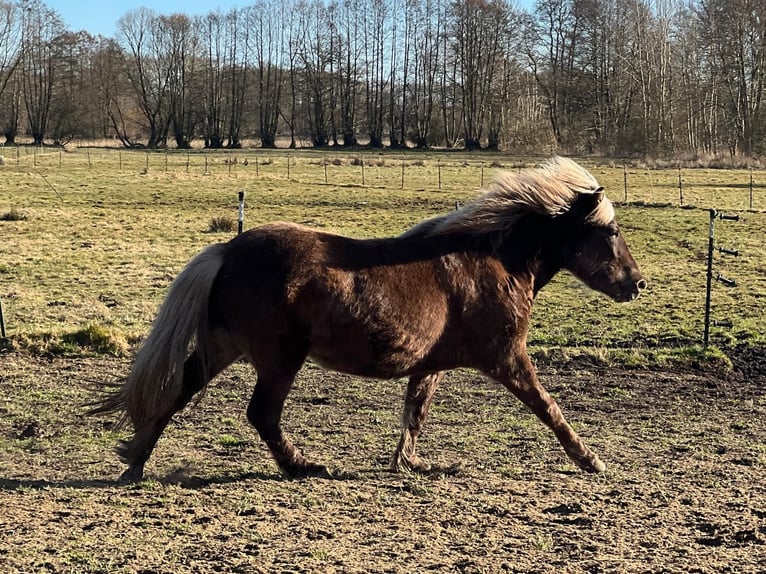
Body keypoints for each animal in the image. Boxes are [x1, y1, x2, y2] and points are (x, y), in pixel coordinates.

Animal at [89, 157, 647, 482]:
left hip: (224, 347)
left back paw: (134, 459)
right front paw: (590, 460)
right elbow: (550, 409)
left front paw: (410, 463)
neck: (491, 260)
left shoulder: (431, 364)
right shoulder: (507, 358)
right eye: (610, 231)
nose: (637, 284)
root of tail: (229, 251)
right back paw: (303, 466)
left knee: (178, 390)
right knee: (261, 414)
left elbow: (414, 412)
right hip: (278, 358)